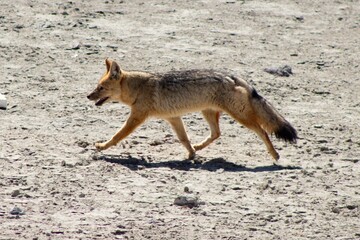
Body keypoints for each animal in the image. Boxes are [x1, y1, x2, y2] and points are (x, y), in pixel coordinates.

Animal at [87, 58, 298, 160]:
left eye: (100, 88)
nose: (88, 96)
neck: (137, 87)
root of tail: (231, 76)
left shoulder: (137, 117)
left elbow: (117, 135)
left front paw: (102, 146)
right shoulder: (173, 118)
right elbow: (184, 139)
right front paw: (191, 154)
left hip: (241, 117)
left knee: (263, 131)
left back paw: (274, 155)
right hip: (209, 113)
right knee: (216, 133)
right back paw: (198, 147)